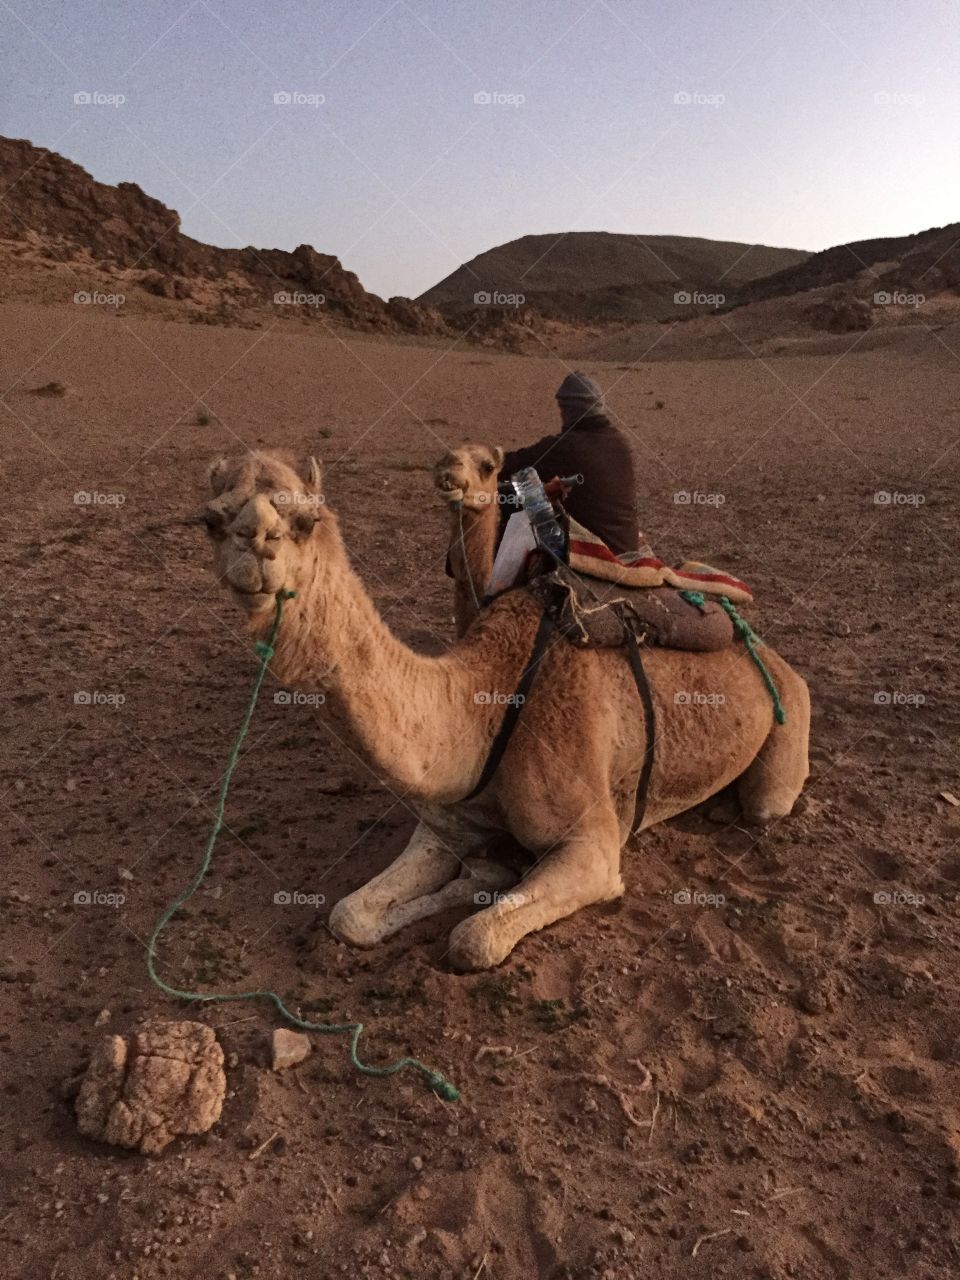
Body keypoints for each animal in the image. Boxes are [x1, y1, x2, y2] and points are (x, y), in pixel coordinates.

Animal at [203, 450, 814, 967]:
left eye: (307, 521)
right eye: (210, 519)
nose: (255, 546)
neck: (487, 703)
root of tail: (766, 649)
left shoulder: (593, 846)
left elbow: (473, 939)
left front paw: (488, 881)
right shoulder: (445, 818)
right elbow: (348, 914)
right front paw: (483, 871)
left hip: (787, 727)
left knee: (765, 803)